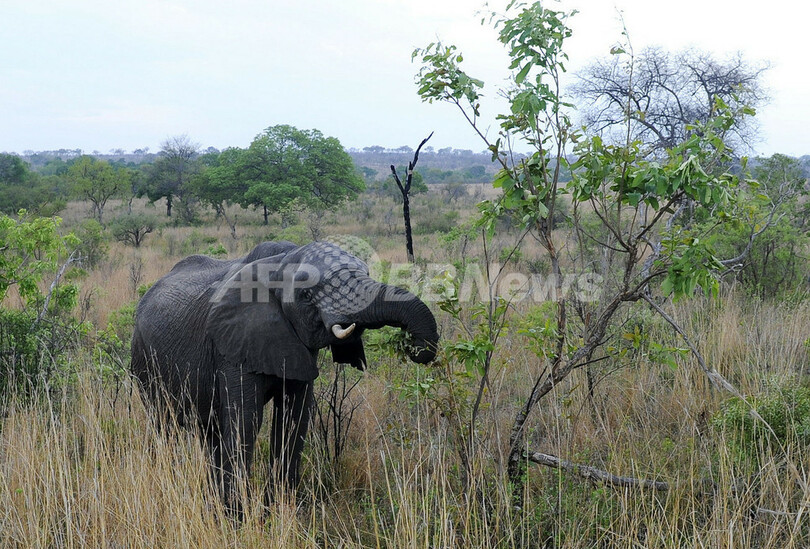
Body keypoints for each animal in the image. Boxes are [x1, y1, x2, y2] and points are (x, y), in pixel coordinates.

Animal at [130, 240, 439, 508]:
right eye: (307, 294)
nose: (414, 345)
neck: (281, 262)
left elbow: (294, 418)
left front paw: (279, 510)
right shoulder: (232, 345)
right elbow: (246, 420)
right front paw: (236, 517)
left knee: (211, 432)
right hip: (144, 358)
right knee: (164, 425)